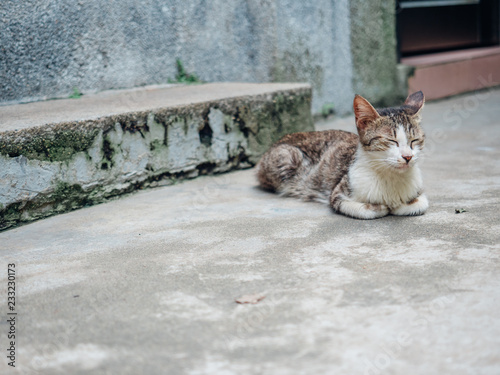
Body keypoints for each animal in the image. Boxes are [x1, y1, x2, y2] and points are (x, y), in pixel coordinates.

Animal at [256, 92, 428, 220]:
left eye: (414, 140)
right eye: (391, 141)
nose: (408, 157)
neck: (390, 176)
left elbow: (421, 204)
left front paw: (399, 205)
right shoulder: (338, 193)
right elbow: (364, 209)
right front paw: (380, 207)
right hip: (288, 156)